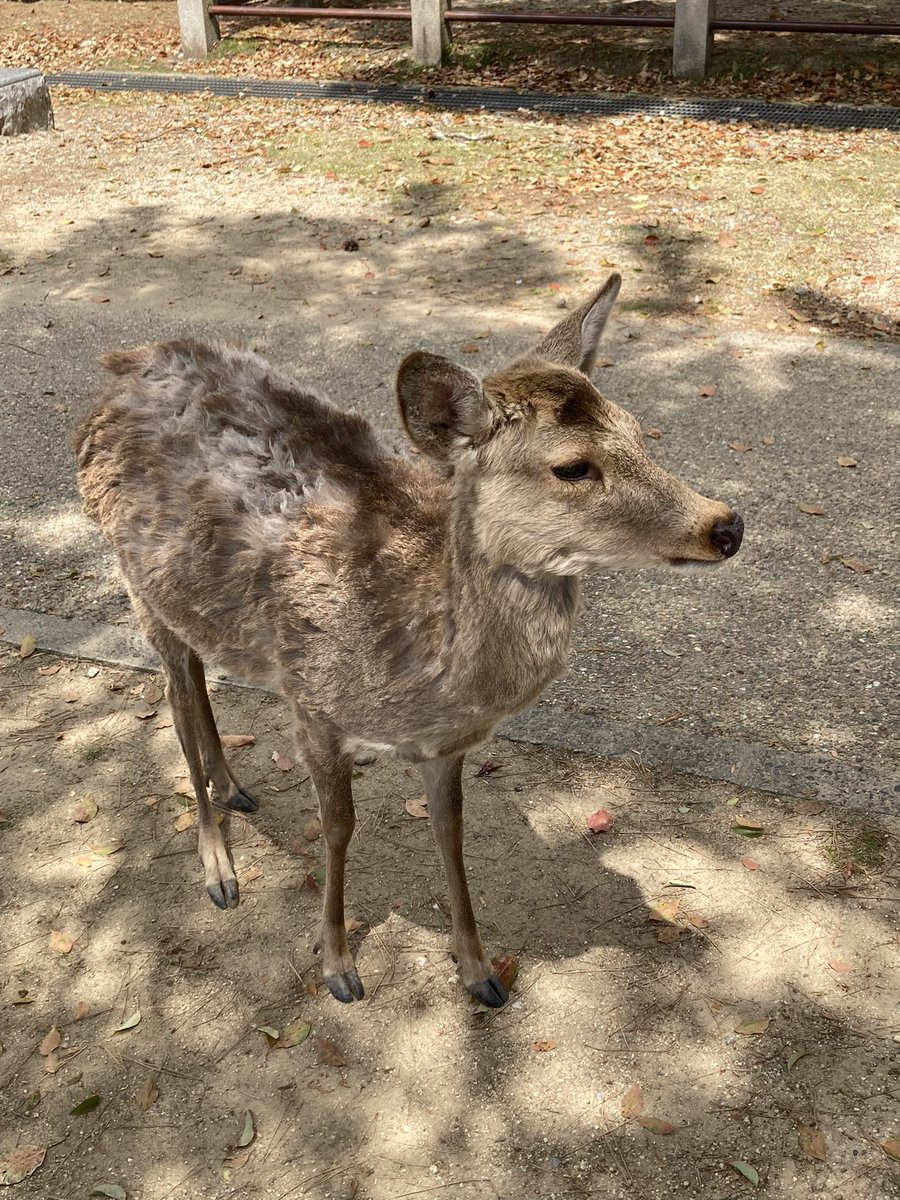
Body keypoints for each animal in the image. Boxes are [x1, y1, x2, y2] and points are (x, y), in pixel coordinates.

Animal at [74, 272, 744, 1003]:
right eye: (572, 467)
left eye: (637, 432)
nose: (725, 525)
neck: (424, 671)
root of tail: (122, 364)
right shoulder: (312, 704)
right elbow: (339, 829)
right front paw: (338, 965)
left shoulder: (444, 745)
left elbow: (451, 833)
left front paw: (478, 971)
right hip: (133, 577)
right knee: (174, 694)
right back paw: (218, 867)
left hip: (189, 602)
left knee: (196, 676)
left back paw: (233, 788)